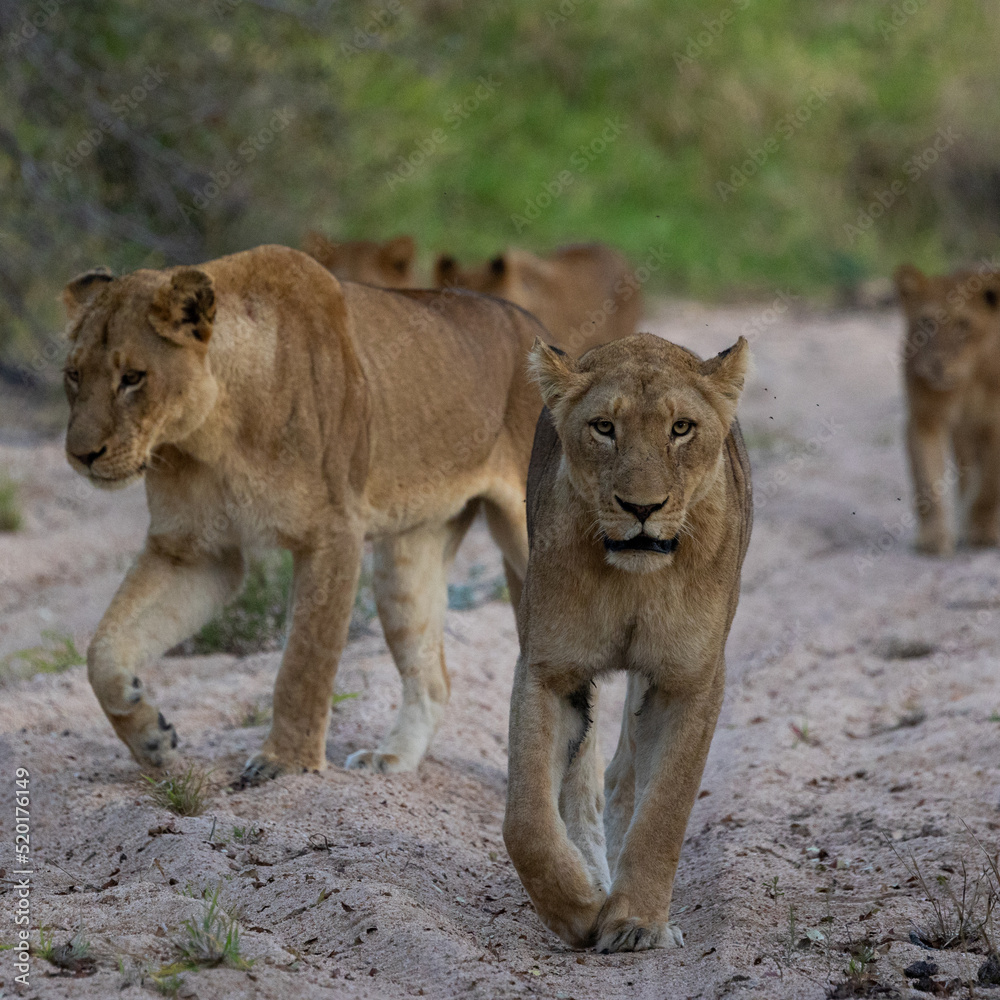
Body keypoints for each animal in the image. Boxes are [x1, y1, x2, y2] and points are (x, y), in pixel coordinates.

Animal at [62, 245, 543, 782]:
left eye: (132, 378)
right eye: (74, 375)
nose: (81, 455)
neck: (212, 435)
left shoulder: (333, 533)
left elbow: (304, 661)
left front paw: (286, 764)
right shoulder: (194, 552)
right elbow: (102, 650)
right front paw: (150, 739)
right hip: (406, 558)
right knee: (435, 677)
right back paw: (390, 760)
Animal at [503, 333, 752, 953]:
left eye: (681, 428)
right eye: (604, 428)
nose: (643, 508)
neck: (633, 579)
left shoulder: (690, 682)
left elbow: (665, 809)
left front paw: (637, 921)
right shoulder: (548, 669)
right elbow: (525, 820)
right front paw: (578, 909)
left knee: (627, 776)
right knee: (587, 781)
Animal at [895, 264, 1000, 555]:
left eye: (963, 325)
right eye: (927, 322)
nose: (938, 364)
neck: (969, 378)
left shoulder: (994, 425)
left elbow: (990, 485)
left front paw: (983, 532)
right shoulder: (925, 418)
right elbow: (927, 483)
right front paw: (932, 540)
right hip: (964, 434)